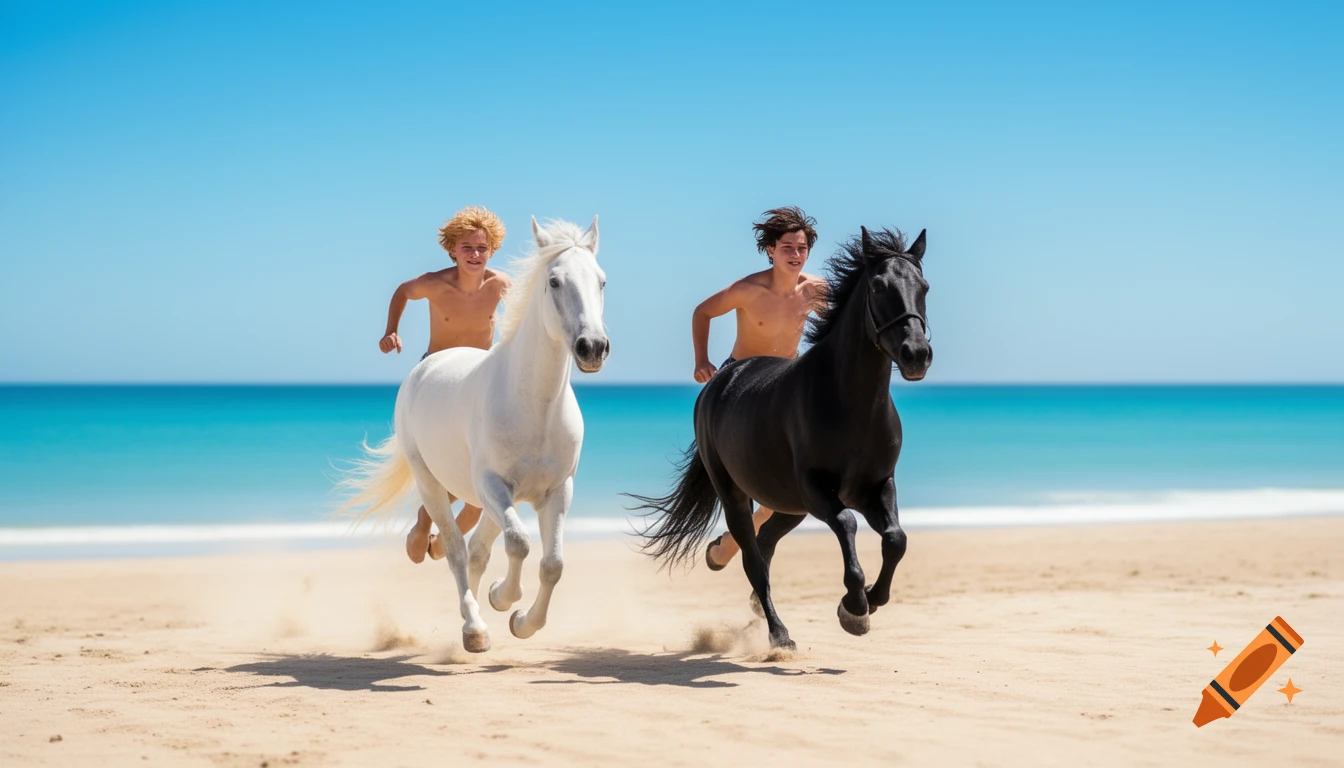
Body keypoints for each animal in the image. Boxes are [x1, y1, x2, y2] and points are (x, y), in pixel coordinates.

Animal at [338, 216, 609, 653]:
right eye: (554, 281)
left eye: (601, 281)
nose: (593, 348)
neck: (533, 406)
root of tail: (427, 366)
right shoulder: (494, 484)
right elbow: (518, 543)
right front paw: (504, 597)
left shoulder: (557, 490)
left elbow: (552, 564)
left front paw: (520, 621)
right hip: (434, 481)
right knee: (455, 549)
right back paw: (471, 624)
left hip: (481, 498)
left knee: (477, 548)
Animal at [629, 227, 931, 650]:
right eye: (877, 286)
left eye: (924, 286)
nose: (916, 354)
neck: (851, 403)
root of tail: (722, 379)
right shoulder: (818, 489)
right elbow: (847, 524)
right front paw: (854, 610)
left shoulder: (877, 486)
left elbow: (896, 539)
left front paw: (870, 600)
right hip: (738, 494)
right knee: (753, 557)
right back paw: (777, 633)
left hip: (788, 502)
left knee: (766, 540)